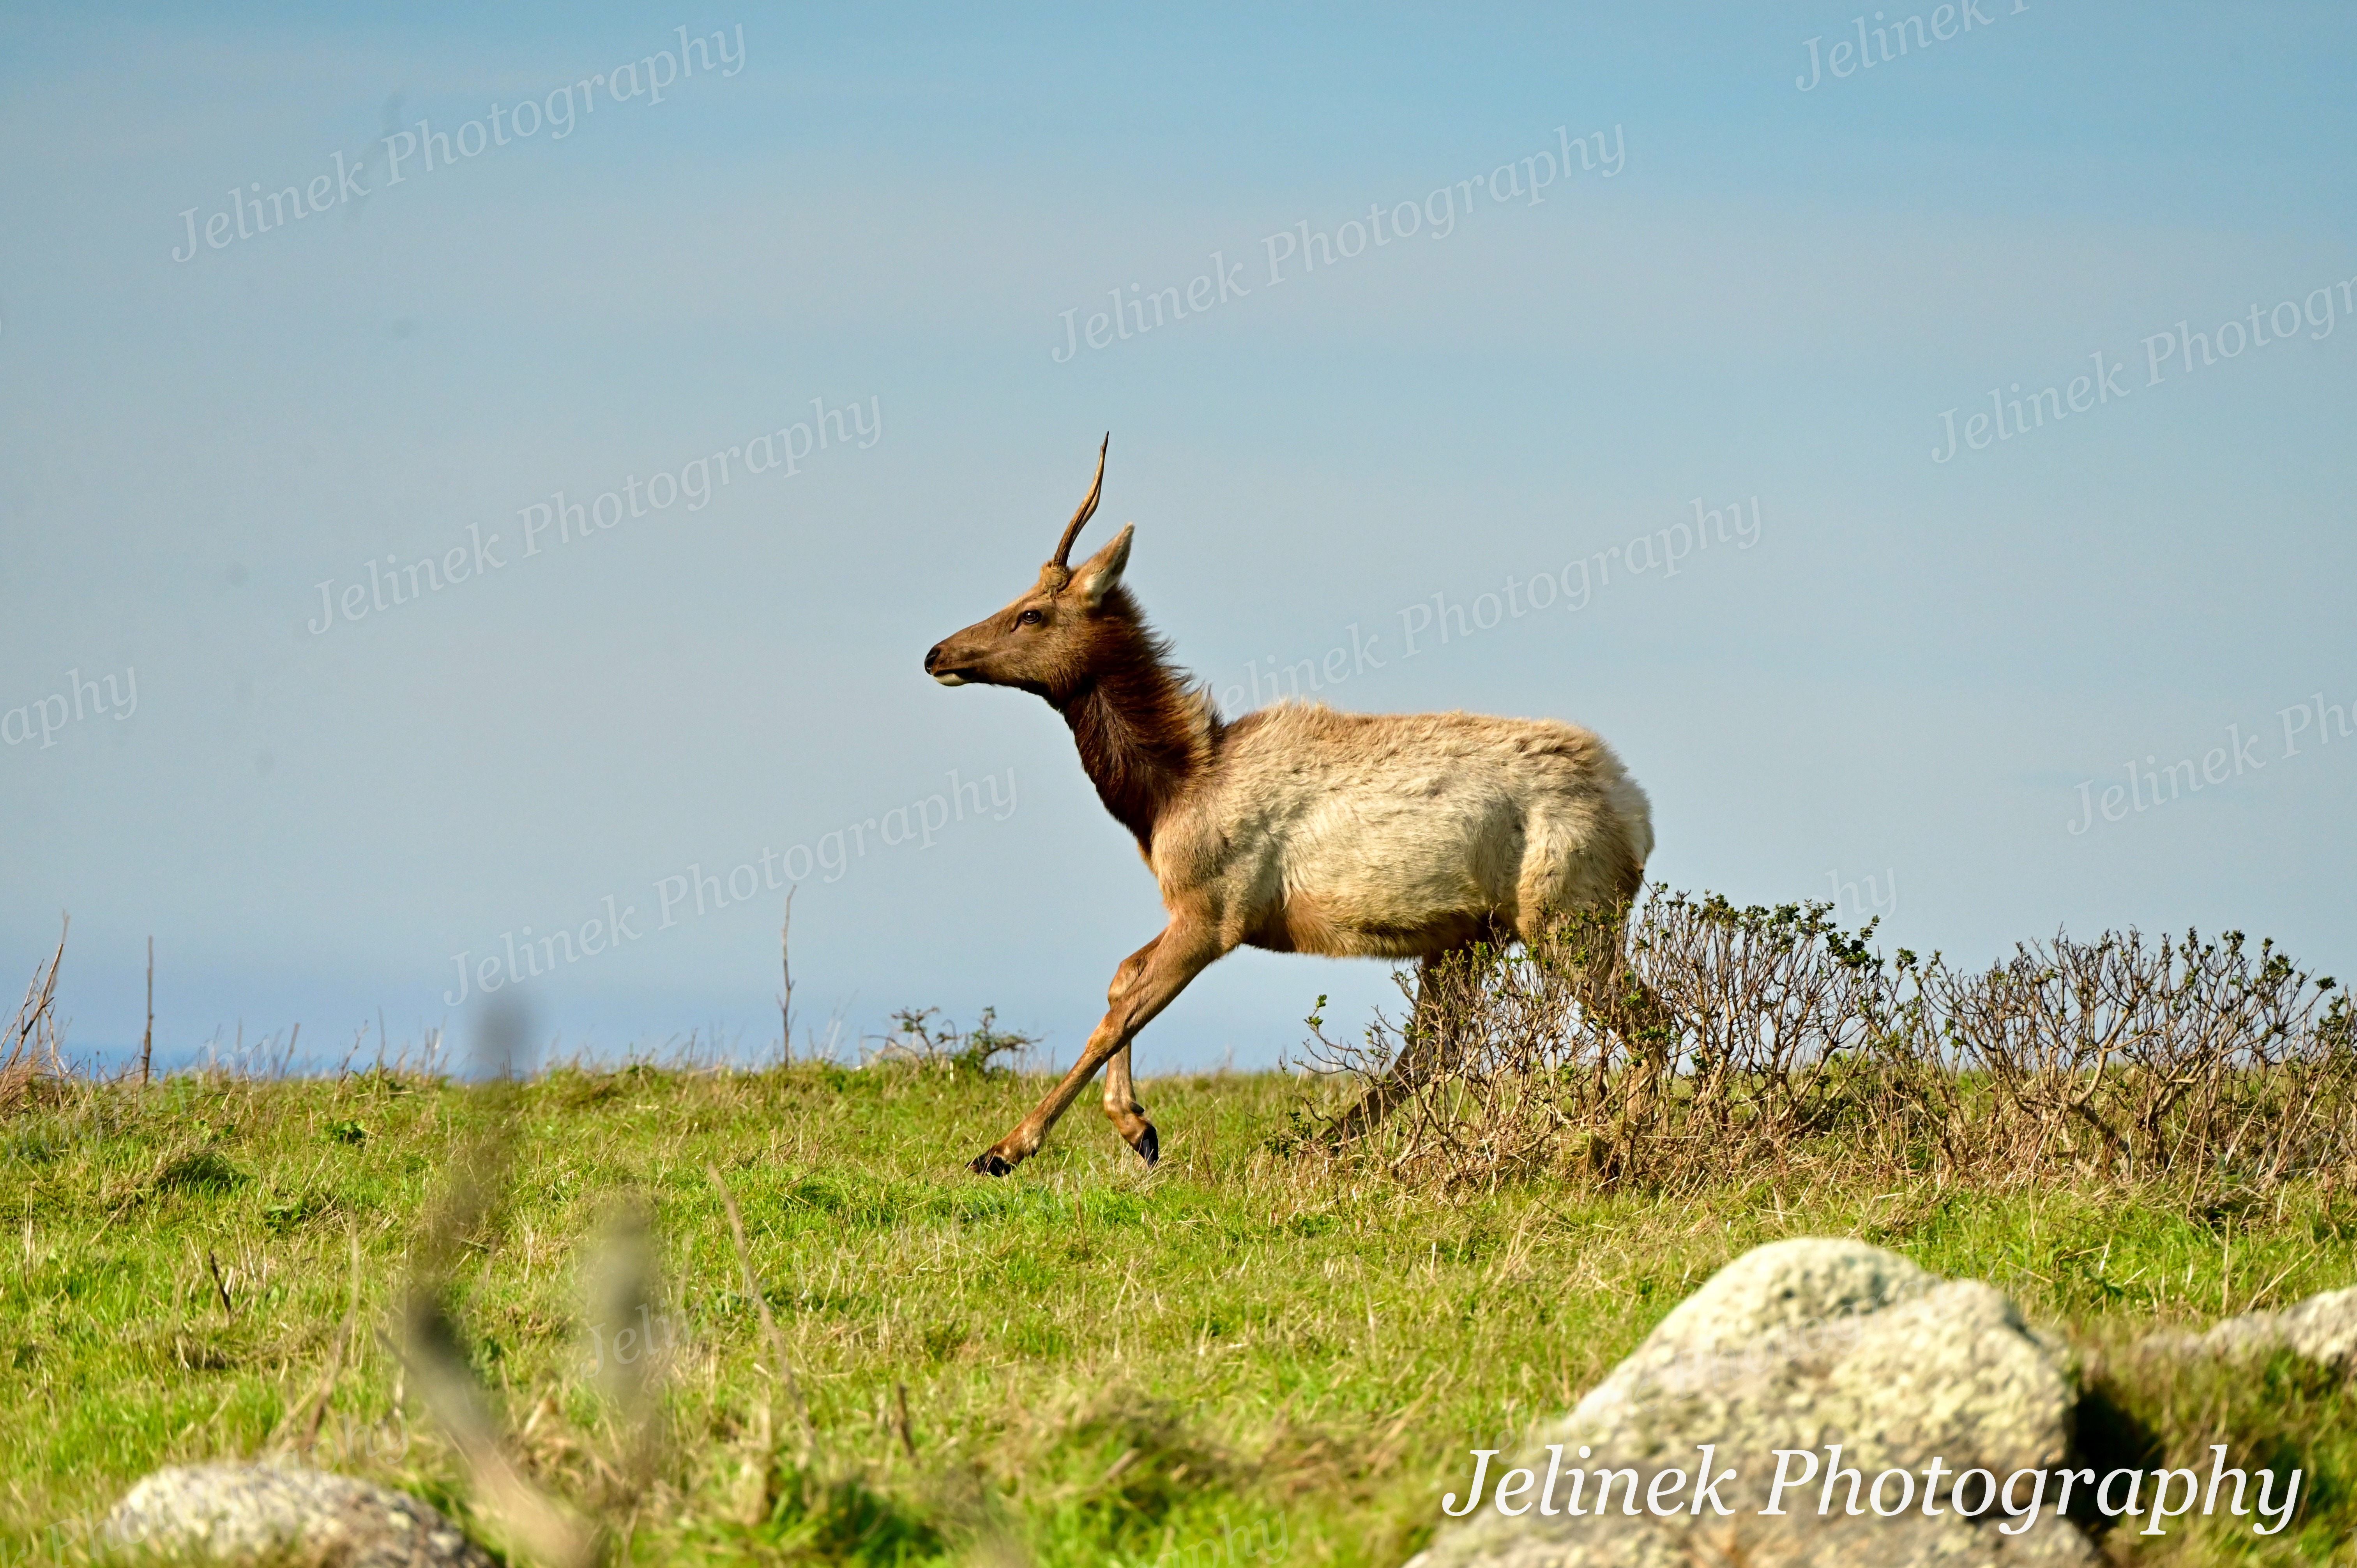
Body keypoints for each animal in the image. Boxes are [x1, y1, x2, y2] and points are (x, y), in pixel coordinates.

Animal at [924, 438, 1656, 1176]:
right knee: (1434, 1050)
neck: (1170, 792)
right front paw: (1137, 1126)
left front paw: (1006, 1148)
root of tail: (1639, 814)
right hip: (1469, 936)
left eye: (1031, 613)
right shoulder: (1197, 908)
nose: (937, 652)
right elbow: (1119, 978)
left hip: (1568, 913)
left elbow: (1118, 1015)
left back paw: (1615, 1151)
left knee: (1650, 1017)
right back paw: (1321, 1145)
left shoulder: (1216, 911)